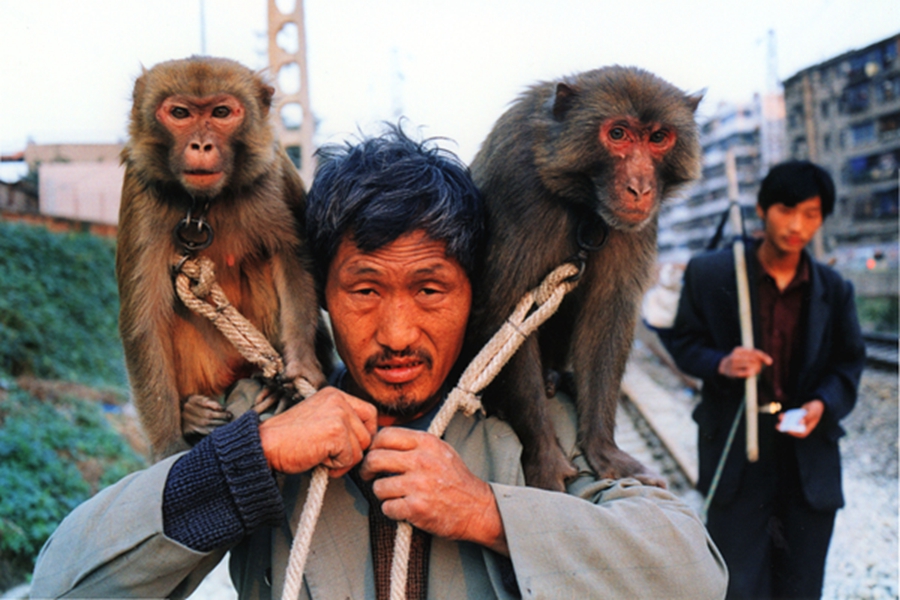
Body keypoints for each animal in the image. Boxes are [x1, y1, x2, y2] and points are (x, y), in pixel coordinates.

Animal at [116, 56, 328, 460]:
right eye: (180, 113)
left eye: (221, 113)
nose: (201, 144)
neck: (205, 204)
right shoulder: (141, 189)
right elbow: (144, 319)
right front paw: (168, 445)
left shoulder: (271, 174)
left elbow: (292, 257)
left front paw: (301, 367)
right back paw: (191, 413)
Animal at [467, 65, 702, 491]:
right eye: (618, 134)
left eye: (658, 138)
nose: (640, 188)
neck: (582, 201)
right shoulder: (518, 183)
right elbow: (508, 314)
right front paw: (545, 456)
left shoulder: (634, 226)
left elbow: (607, 316)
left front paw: (603, 449)